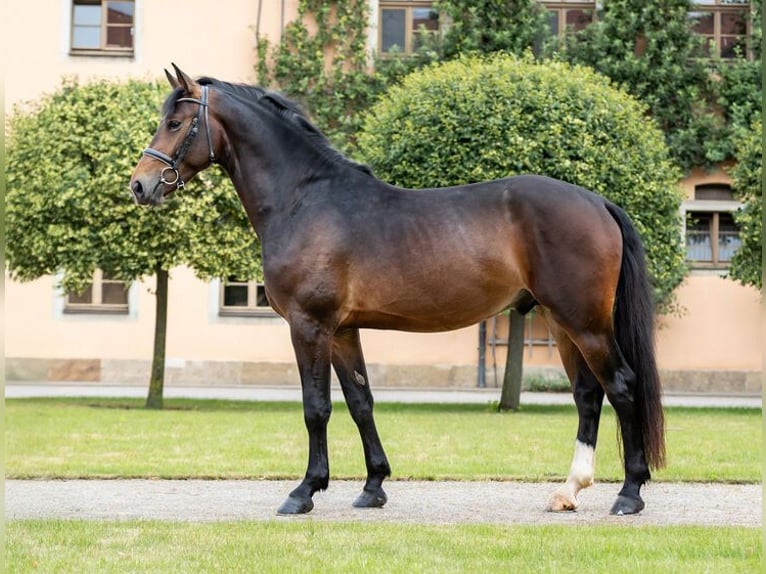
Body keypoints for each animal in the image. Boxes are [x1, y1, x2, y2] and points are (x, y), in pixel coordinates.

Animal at [130, 65, 665, 516]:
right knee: (587, 395)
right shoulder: (343, 332)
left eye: (175, 123)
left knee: (621, 386)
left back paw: (629, 494)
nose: (140, 185)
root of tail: (597, 201)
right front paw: (373, 487)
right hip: (561, 322)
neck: (306, 199)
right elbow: (361, 402)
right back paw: (569, 490)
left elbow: (316, 407)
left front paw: (304, 491)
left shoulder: (309, 326)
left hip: (585, 323)